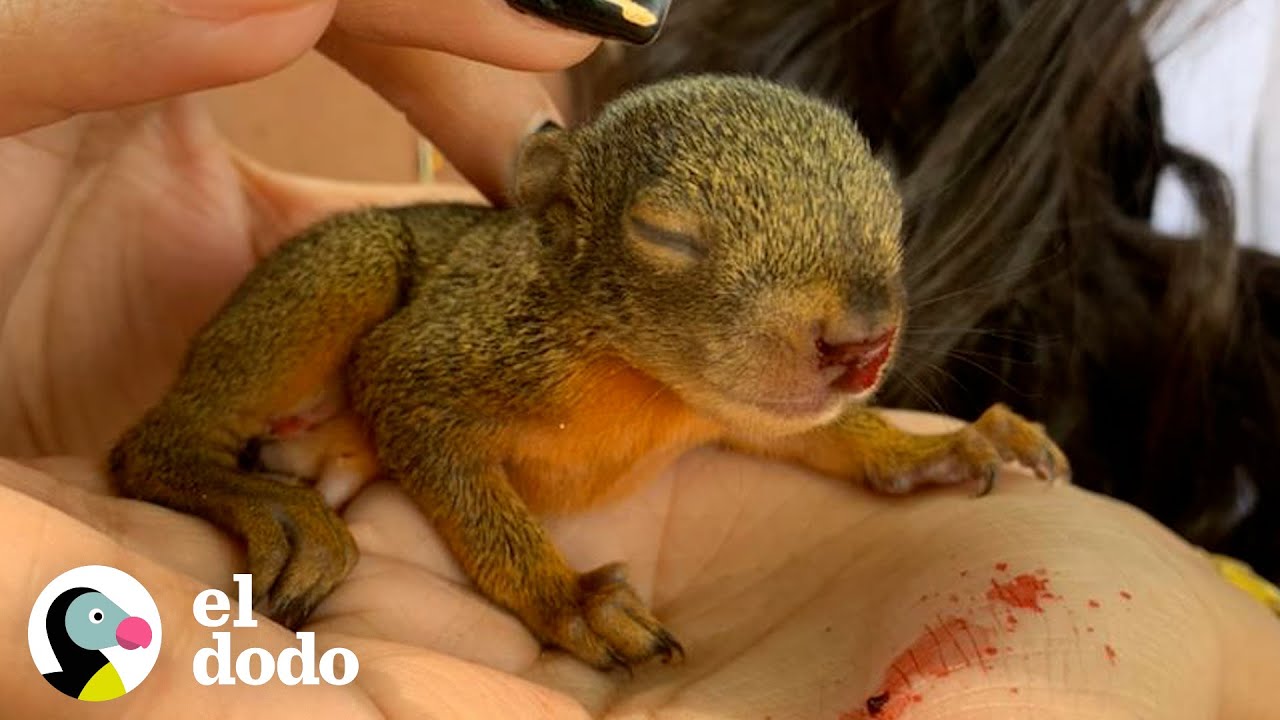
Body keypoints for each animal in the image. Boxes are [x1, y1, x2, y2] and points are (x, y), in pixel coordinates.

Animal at [108, 75, 1069, 670]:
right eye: (665, 234)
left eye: (895, 215)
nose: (863, 342)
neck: (645, 382)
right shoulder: (445, 357)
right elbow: (426, 426)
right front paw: (568, 598)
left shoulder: (743, 407)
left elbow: (822, 435)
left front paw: (931, 452)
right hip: (347, 267)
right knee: (148, 448)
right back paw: (263, 501)